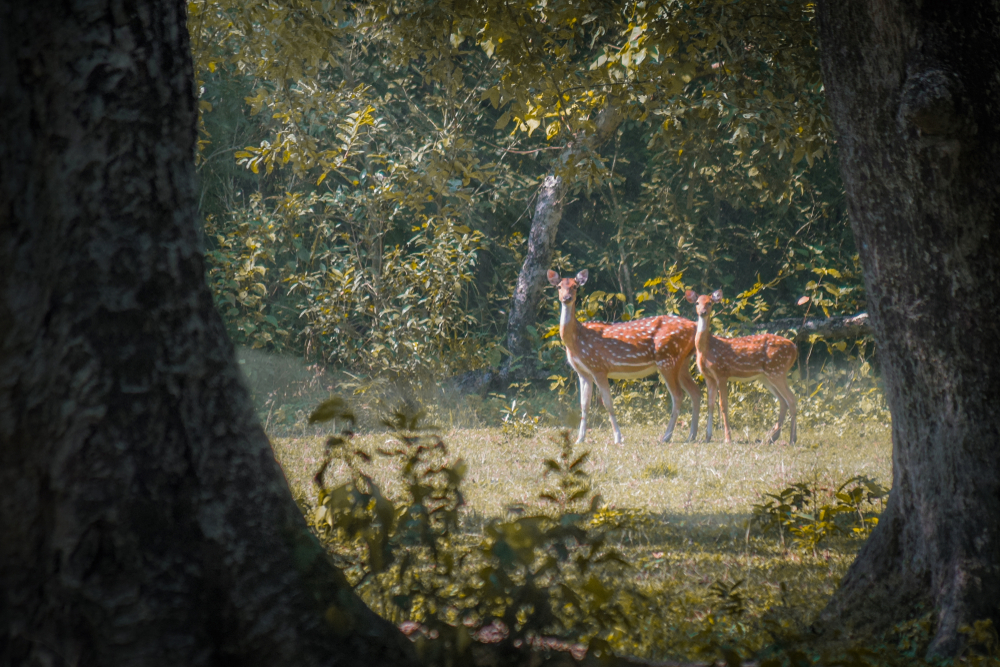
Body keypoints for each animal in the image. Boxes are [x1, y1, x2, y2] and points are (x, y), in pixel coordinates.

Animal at [548, 268, 704, 446]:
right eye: (559, 286)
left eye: (575, 286)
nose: (567, 298)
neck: (576, 340)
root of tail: (694, 326)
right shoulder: (583, 372)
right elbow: (584, 405)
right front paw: (579, 439)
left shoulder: (599, 366)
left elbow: (608, 403)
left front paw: (618, 438)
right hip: (682, 361)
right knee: (695, 391)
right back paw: (691, 435)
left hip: (668, 359)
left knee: (678, 395)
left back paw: (666, 436)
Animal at [684, 290, 800, 446]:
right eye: (697, 302)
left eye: (709, 303)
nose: (703, 312)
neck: (706, 348)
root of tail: (795, 348)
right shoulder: (709, 377)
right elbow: (710, 404)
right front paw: (707, 437)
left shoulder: (722, 372)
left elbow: (723, 405)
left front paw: (727, 438)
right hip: (767, 376)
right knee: (783, 401)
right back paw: (772, 438)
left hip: (778, 371)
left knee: (791, 399)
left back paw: (792, 439)